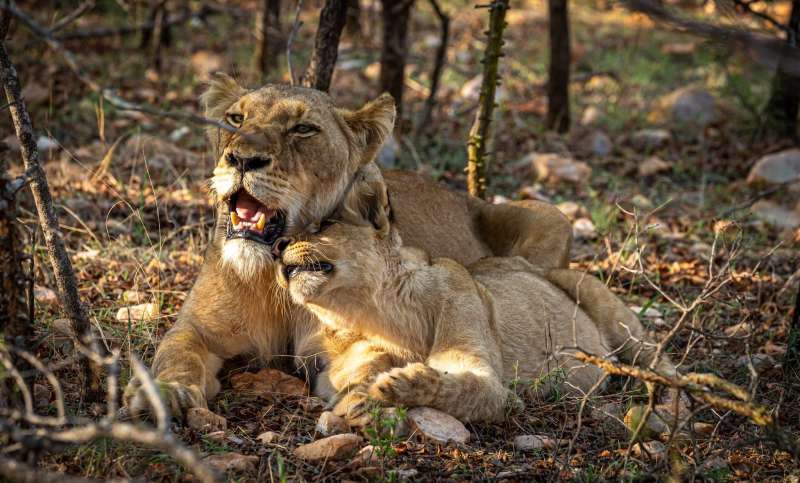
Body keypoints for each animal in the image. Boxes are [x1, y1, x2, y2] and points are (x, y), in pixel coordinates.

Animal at [123, 74, 574, 417]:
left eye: (303, 129)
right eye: (236, 118)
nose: (242, 160)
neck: (271, 276)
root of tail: (464, 196)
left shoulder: (370, 332)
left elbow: (369, 359)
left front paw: (363, 394)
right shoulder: (198, 328)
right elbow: (175, 352)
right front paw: (163, 394)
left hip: (550, 216)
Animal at [275, 192, 677, 423]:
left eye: (323, 225)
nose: (276, 244)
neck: (385, 319)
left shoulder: (500, 392)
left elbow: (462, 388)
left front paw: (394, 386)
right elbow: (350, 375)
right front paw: (360, 396)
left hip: (602, 302)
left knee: (661, 362)